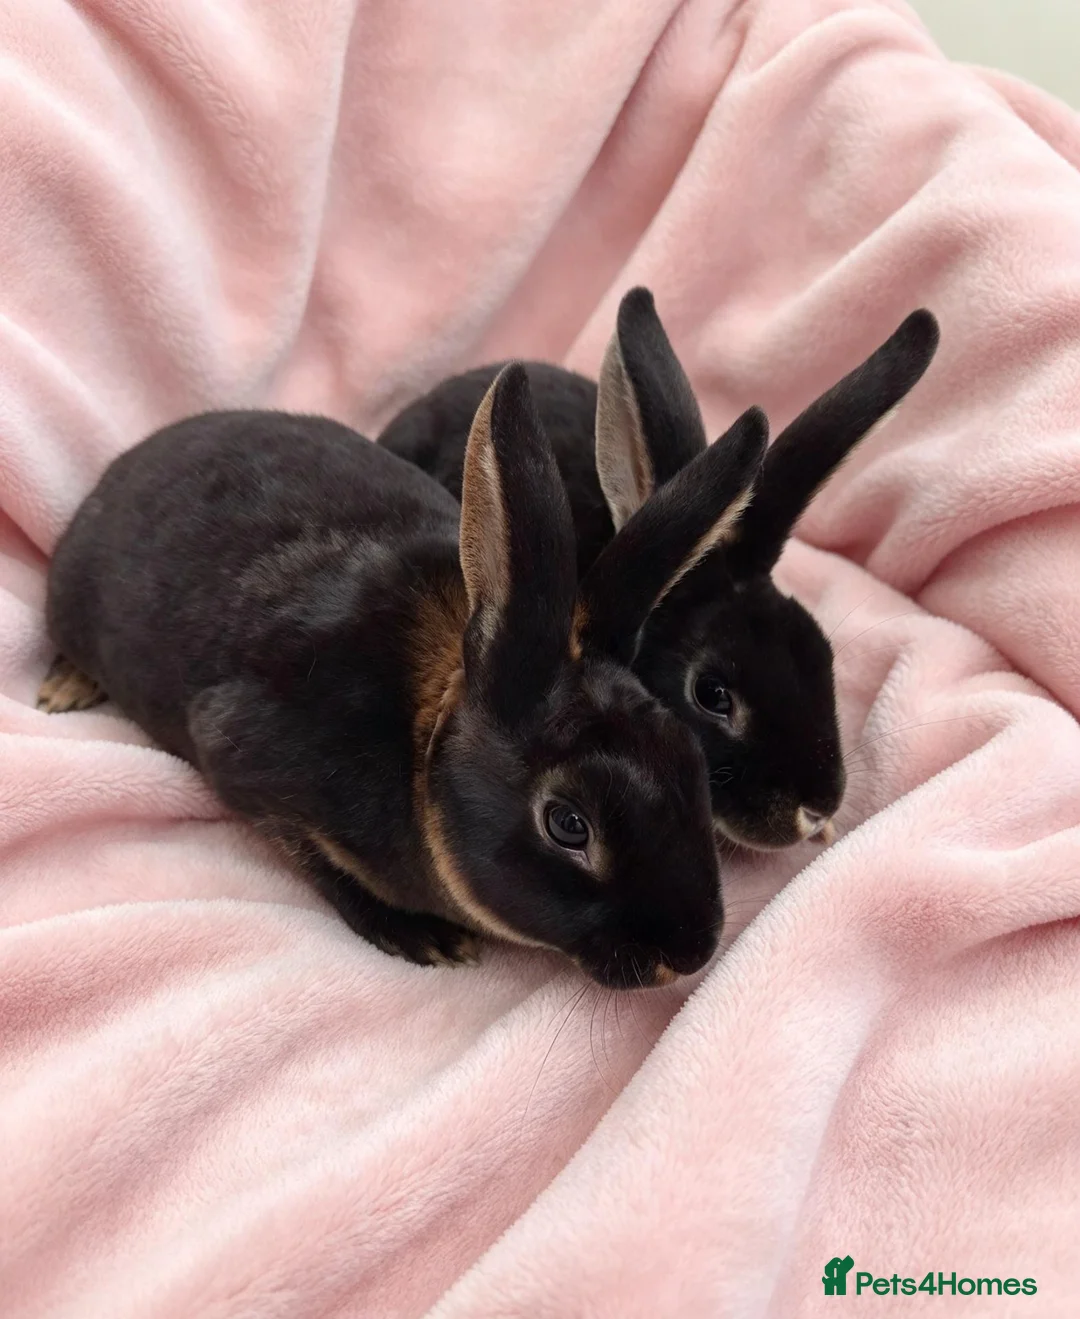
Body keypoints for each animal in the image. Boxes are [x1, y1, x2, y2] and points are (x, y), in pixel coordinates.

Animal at [39, 364, 771, 988]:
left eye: (690, 759)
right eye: (567, 824)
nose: (689, 954)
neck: (426, 741)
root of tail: (127, 463)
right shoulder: (248, 764)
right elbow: (322, 866)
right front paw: (427, 939)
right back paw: (64, 690)